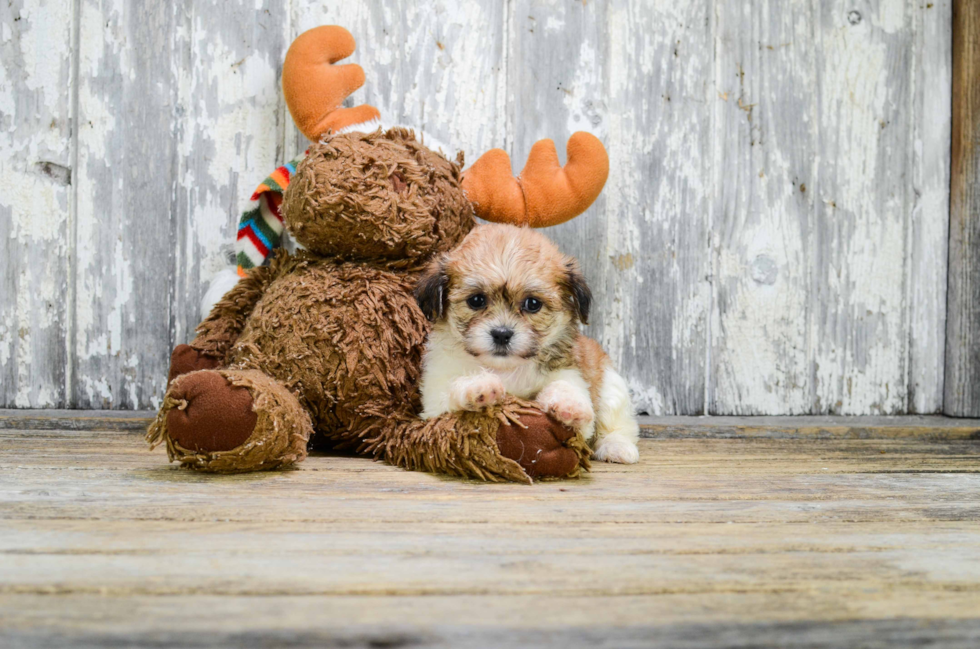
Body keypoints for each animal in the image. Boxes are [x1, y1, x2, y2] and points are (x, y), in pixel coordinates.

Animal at [416, 225, 640, 464]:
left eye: (533, 304)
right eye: (476, 300)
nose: (502, 334)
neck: (506, 369)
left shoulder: (569, 374)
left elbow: (565, 388)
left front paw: (569, 405)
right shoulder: (434, 401)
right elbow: (452, 390)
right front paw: (478, 388)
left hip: (611, 384)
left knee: (618, 422)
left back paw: (616, 446)